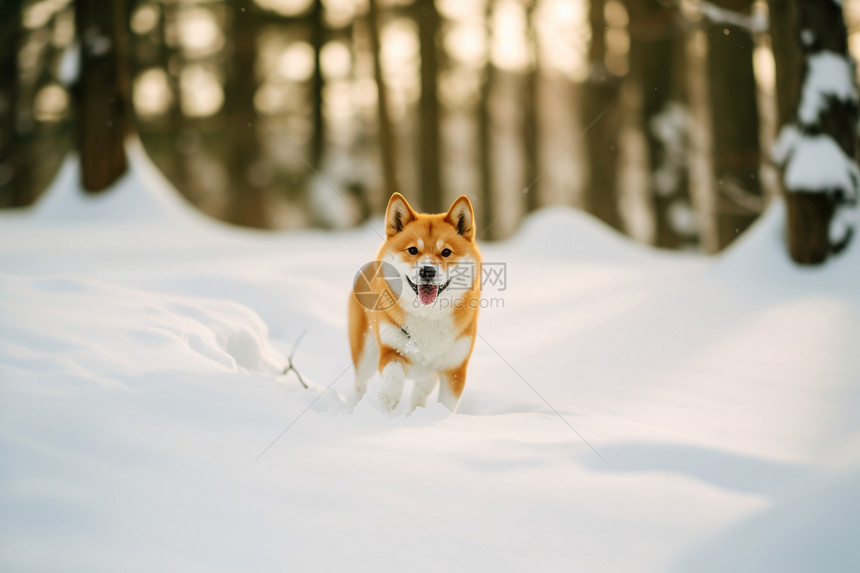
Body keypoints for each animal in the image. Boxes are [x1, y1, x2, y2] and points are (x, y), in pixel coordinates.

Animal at [350, 193, 484, 412]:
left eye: (446, 252)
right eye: (413, 250)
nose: (427, 271)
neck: (427, 316)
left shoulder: (454, 368)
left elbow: (446, 404)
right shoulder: (391, 350)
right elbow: (394, 377)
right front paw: (387, 401)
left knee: (422, 390)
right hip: (364, 356)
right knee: (358, 385)